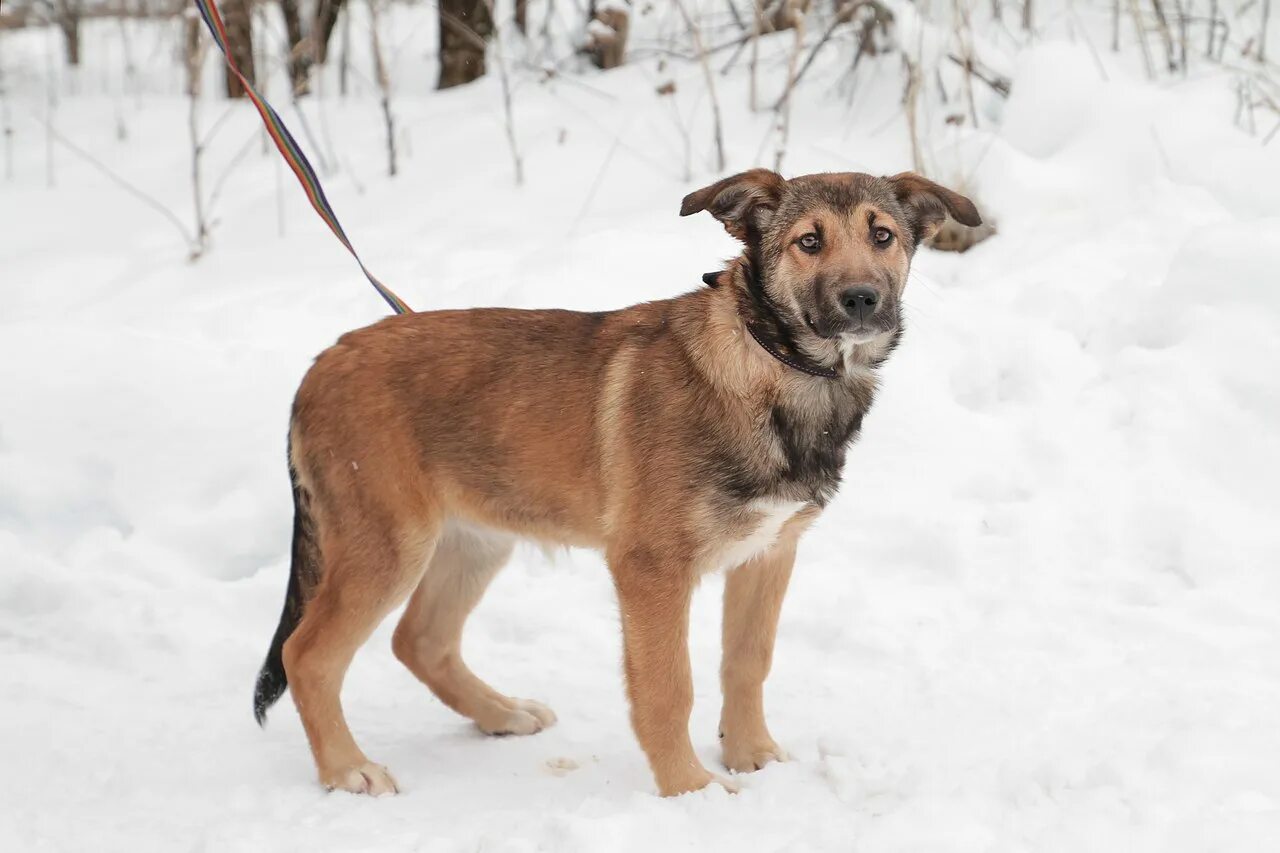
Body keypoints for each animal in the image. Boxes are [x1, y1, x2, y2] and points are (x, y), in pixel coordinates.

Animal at [254, 167, 983, 799]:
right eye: (809, 241)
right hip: (388, 544)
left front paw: (751, 755)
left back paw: (501, 713)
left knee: (421, 640)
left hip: (476, 536)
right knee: (307, 654)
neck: (772, 367)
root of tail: (319, 366)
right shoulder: (651, 567)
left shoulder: (769, 553)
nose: (862, 300)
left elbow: (747, 661)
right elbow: (668, 686)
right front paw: (690, 790)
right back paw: (347, 770)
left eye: (882, 235)